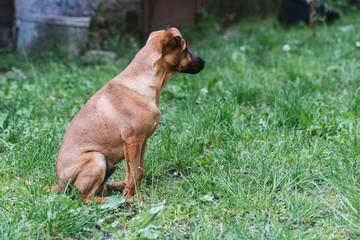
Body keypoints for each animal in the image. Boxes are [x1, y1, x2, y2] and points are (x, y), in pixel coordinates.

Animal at [54, 28, 205, 202]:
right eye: (186, 49)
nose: (203, 61)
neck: (144, 82)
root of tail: (60, 187)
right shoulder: (132, 141)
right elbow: (133, 173)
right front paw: (132, 199)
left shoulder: (142, 141)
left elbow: (139, 171)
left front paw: (138, 196)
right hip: (97, 160)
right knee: (86, 198)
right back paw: (112, 200)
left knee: (102, 188)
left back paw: (118, 186)